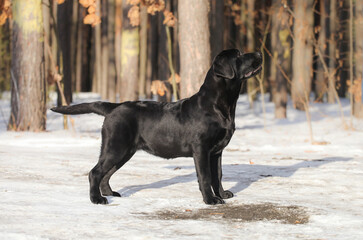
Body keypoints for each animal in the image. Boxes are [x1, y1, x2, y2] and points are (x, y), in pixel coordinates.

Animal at [52, 49, 262, 204]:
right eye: (239, 55)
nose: (259, 53)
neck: (220, 105)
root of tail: (114, 107)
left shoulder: (216, 152)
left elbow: (218, 175)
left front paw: (222, 194)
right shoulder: (201, 149)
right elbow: (205, 176)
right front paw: (211, 200)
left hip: (124, 151)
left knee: (105, 174)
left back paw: (109, 193)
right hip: (116, 147)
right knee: (95, 172)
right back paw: (97, 199)